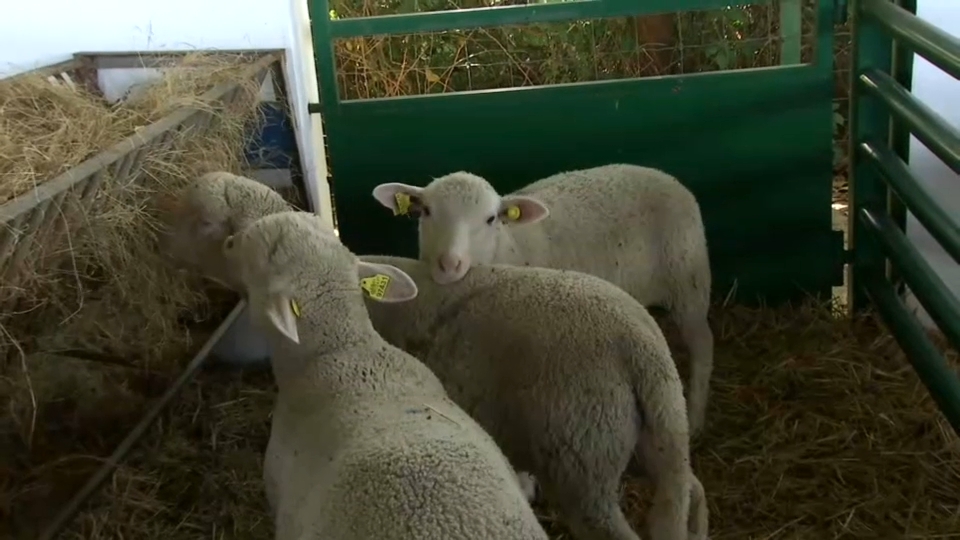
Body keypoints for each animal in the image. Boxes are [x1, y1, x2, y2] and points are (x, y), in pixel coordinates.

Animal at [371, 164, 715, 437]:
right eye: (427, 212)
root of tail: (668, 177)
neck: (507, 245)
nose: (449, 264)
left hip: (688, 283)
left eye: (491, 218)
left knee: (703, 344)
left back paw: (697, 419)